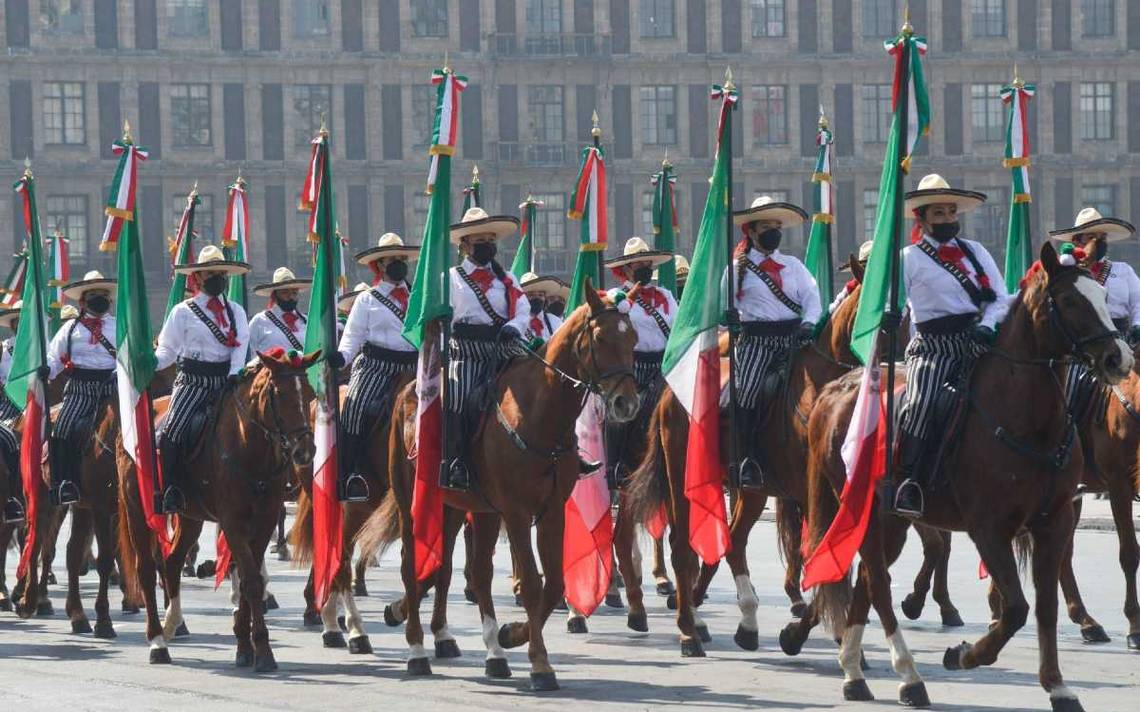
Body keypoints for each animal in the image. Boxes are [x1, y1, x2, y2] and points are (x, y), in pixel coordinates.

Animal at [116, 350, 316, 669]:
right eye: (279, 394)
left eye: (308, 393)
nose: (305, 452)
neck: (248, 446)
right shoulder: (233, 522)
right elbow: (250, 579)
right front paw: (263, 651)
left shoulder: (263, 521)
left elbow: (248, 578)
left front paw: (245, 647)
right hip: (139, 511)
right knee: (146, 569)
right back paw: (157, 642)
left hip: (189, 517)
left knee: (172, 562)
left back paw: (174, 623)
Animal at [357, 283, 642, 688]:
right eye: (601, 338)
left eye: (632, 338)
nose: (626, 403)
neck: (539, 414)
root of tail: (409, 390)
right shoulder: (518, 513)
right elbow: (534, 583)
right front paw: (540, 664)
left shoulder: (551, 512)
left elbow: (553, 585)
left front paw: (511, 635)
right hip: (411, 498)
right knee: (413, 565)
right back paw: (416, 650)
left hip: (464, 508)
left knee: (468, 570)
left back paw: (488, 650)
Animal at [802, 241, 1130, 706]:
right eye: (1069, 300)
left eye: (1102, 295)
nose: (1118, 358)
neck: (1026, 419)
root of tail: (836, 390)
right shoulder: (989, 528)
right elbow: (1015, 609)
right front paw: (964, 655)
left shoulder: (1055, 521)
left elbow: (1044, 607)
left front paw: (1057, 685)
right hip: (862, 511)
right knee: (879, 584)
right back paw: (908, 676)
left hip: (889, 520)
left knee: (867, 580)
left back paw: (853, 672)